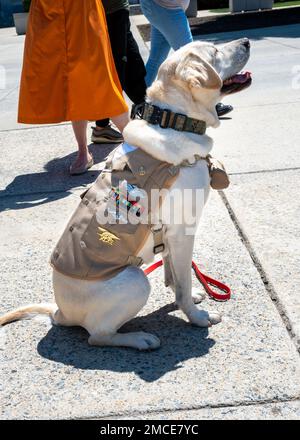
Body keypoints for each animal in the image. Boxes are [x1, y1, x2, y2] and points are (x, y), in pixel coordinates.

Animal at [0, 40, 251, 350]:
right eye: (214, 53)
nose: (247, 42)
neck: (174, 120)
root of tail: (60, 312)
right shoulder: (183, 231)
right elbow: (184, 278)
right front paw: (196, 316)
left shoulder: (170, 236)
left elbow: (174, 274)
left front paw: (188, 298)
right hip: (135, 279)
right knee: (97, 336)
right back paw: (139, 339)